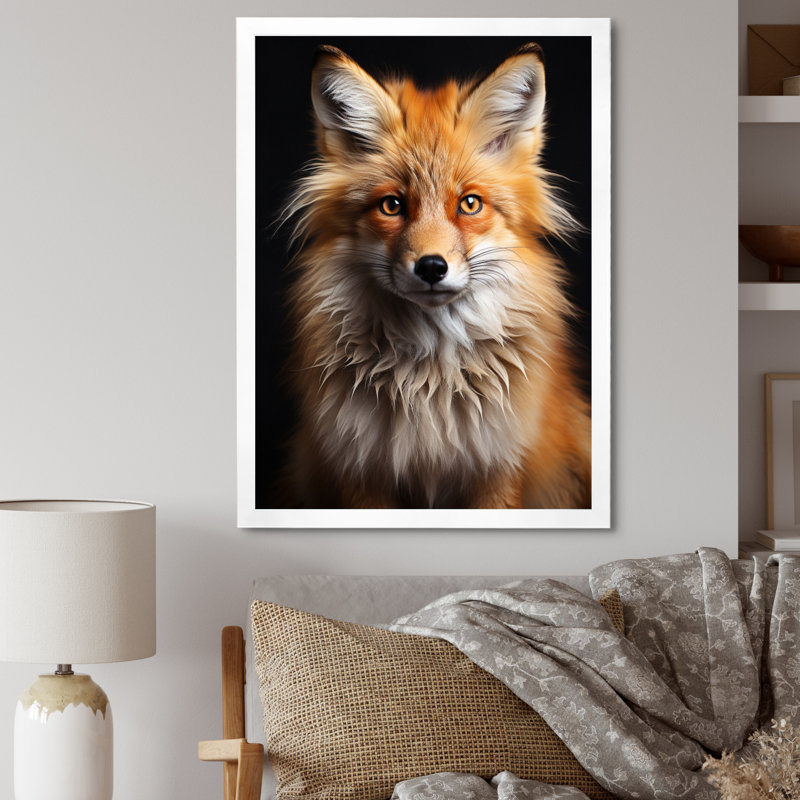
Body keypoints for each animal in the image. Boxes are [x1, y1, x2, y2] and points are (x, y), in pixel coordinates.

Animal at [279, 43, 591, 509]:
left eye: (469, 204)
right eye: (392, 205)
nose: (431, 267)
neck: (430, 383)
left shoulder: (499, 469)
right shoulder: (360, 471)